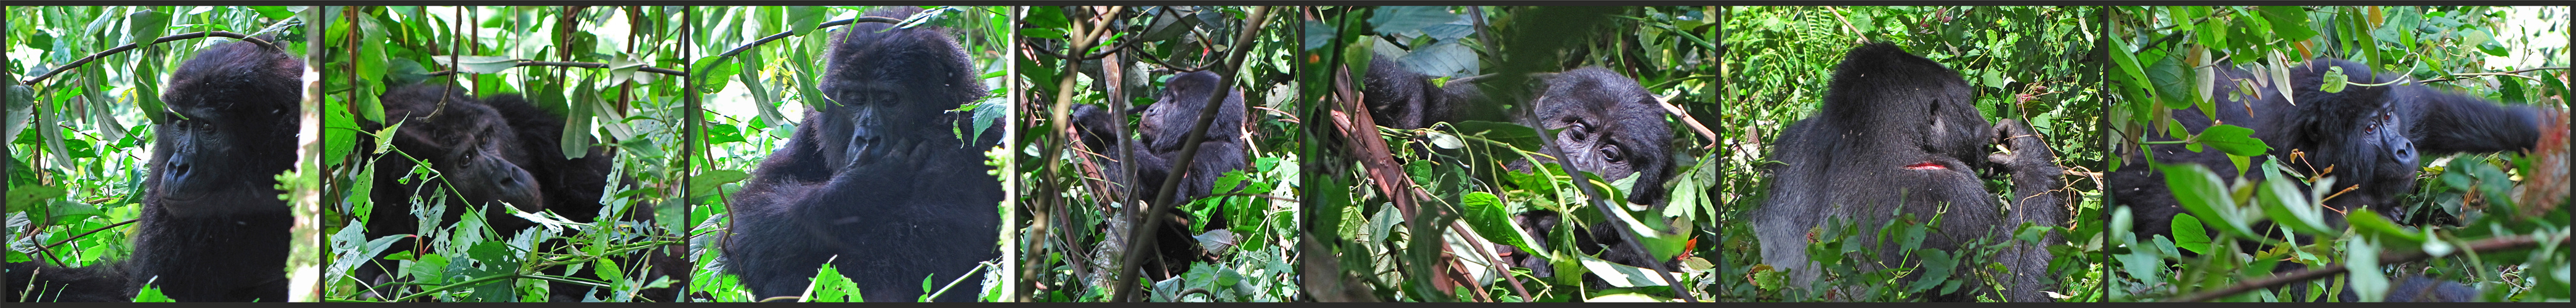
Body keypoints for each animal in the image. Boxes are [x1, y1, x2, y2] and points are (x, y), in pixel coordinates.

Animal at [726, 7, 1015, 302]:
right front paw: (862, 187)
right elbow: (747, 218)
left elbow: (897, 277)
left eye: (889, 100)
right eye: (855, 98)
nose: (866, 138)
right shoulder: (815, 121)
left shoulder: (966, 143)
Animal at [1751, 42, 2071, 301]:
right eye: (1967, 105)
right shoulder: (1949, 193)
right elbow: (2013, 289)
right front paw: (2029, 157)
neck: (1860, 135)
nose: (1984, 125)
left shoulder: (1789, 143)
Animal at [2102, 59, 2545, 301]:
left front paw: (2540, 130)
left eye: (2388, 117)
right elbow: (2325, 288)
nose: (2404, 149)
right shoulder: (2282, 205)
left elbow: (2431, 107)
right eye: (2369, 130)